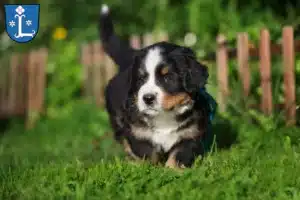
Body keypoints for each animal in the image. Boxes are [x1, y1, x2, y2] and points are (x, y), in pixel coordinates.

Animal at [99, 4, 214, 169]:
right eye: (141, 79)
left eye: (167, 77)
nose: (148, 98)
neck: (164, 117)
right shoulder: (137, 132)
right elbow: (147, 153)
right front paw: (147, 169)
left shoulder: (191, 133)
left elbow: (178, 155)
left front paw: (172, 170)